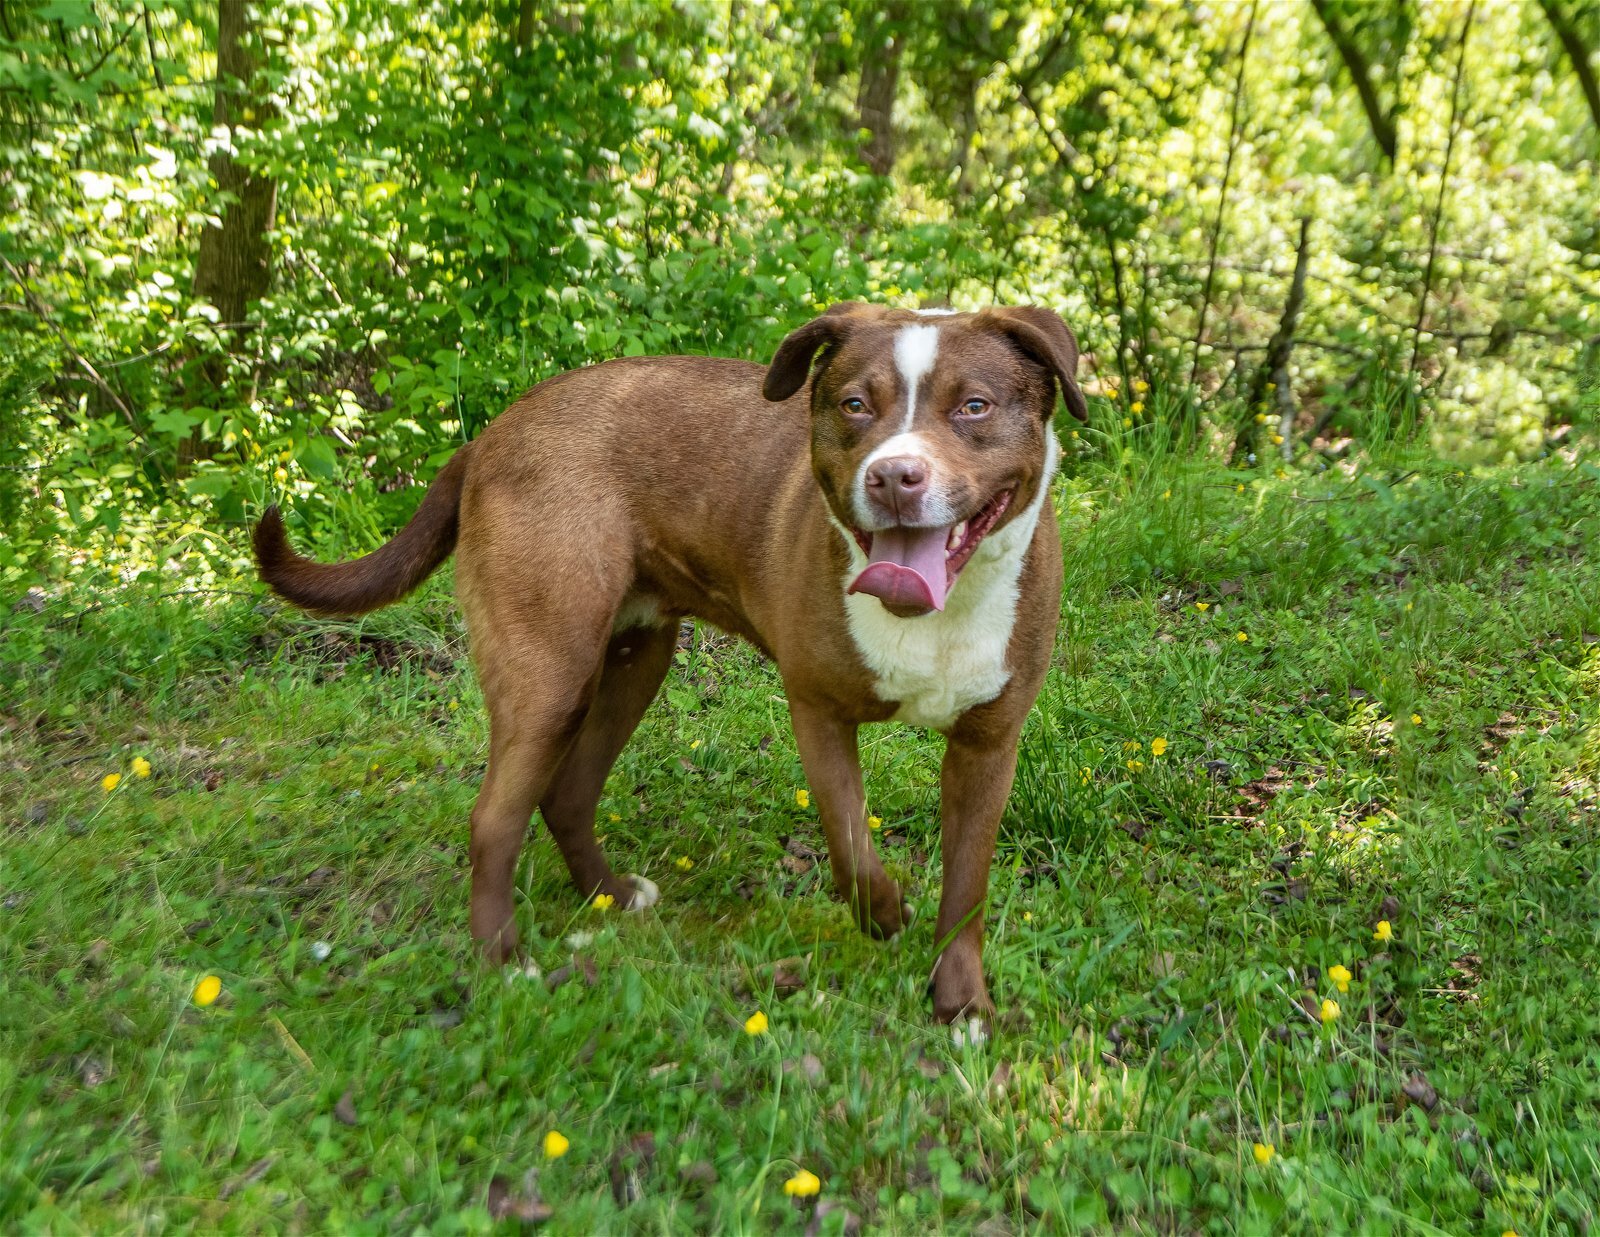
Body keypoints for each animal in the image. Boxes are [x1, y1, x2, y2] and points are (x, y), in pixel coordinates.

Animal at [256, 304, 1088, 1030]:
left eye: (974, 406)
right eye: (855, 404)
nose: (893, 477)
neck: (937, 610)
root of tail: (494, 431)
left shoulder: (989, 744)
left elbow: (968, 882)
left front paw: (962, 1003)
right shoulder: (817, 711)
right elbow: (851, 842)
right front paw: (885, 916)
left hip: (635, 661)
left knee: (568, 791)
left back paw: (609, 895)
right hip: (551, 672)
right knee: (494, 817)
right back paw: (504, 959)